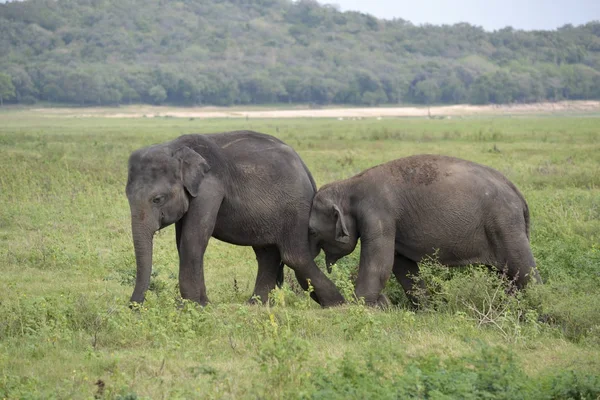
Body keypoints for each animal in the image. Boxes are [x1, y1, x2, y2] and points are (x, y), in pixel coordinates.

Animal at [124, 130, 344, 306]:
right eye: (127, 196)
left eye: (157, 199)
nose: (134, 307)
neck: (174, 146)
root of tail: (305, 169)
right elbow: (182, 240)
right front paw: (202, 303)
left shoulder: (209, 188)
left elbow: (192, 239)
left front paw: (193, 306)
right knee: (267, 254)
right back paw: (255, 304)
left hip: (295, 208)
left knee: (295, 256)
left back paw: (338, 303)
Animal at [308, 153, 540, 306]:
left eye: (311, 232)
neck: (349, 184)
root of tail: (518, 194)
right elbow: (402, 266)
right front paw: (426, 310)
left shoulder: (377, 214)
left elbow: (380, 265)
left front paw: (357, 308)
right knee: (506, 276)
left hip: (505, 224)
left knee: (524, 270)